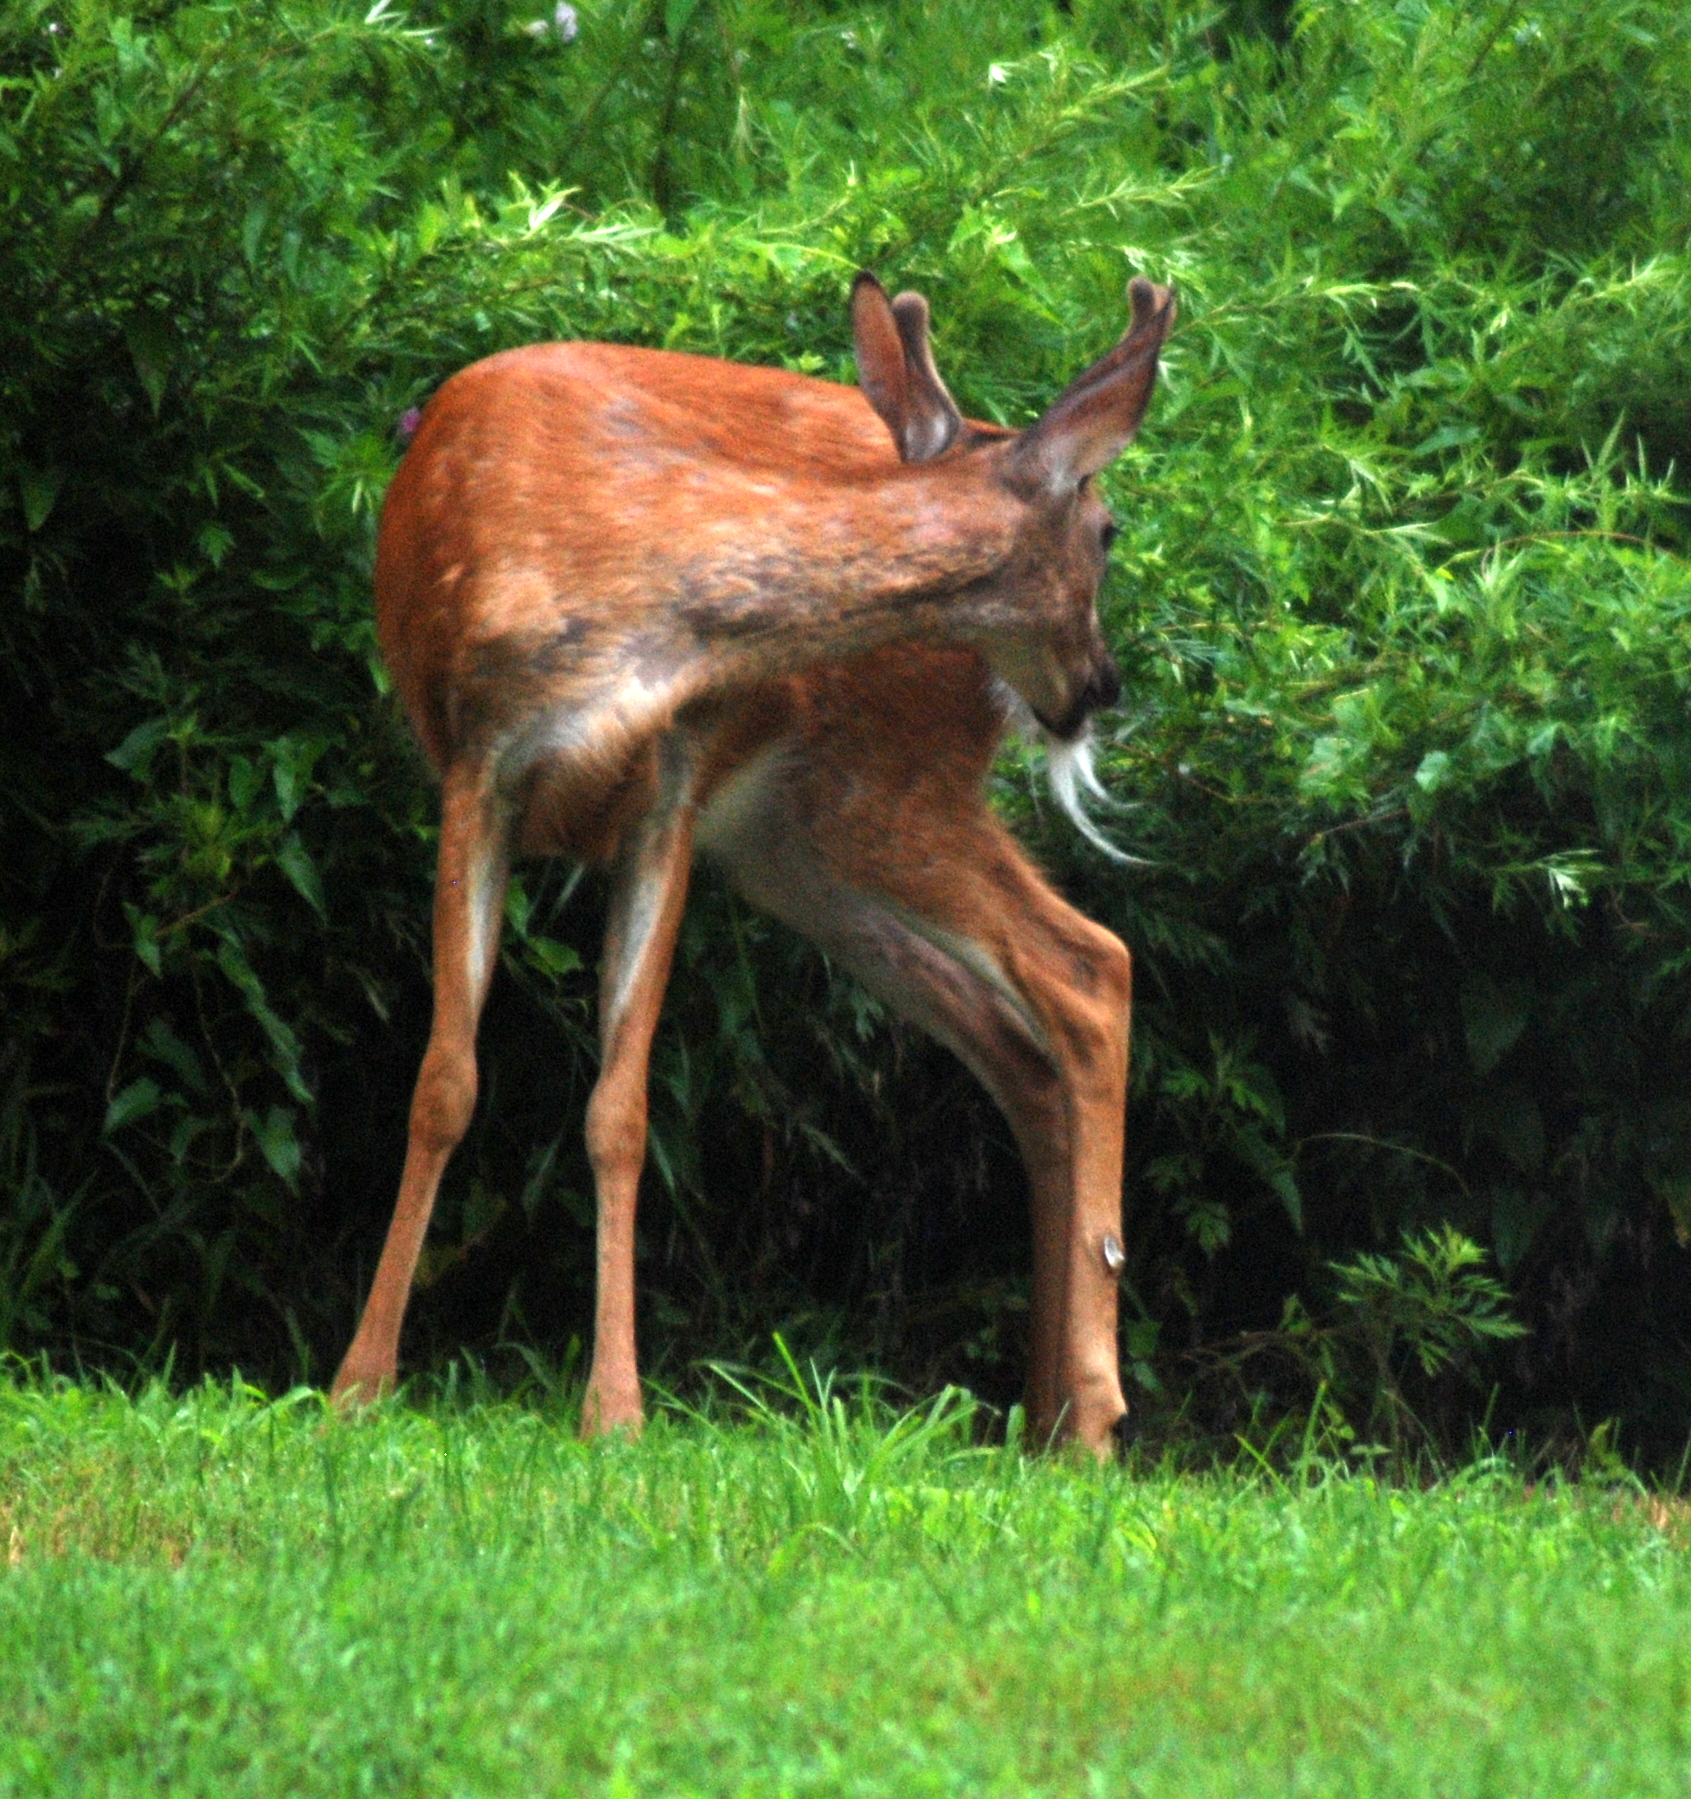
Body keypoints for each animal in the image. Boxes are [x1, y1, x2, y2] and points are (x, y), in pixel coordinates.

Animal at [331, 277, 1172, 1460]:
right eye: (1107, 528)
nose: (1101, 683)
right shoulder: (476, 763)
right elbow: (444, 1082)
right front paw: (358, 1382)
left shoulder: (673, 784)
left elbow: (620, 1109)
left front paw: (615, 1407)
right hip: (803, 845)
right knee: (1028, 1038)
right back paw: (1050, 1416)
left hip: (874, 795)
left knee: (1087, 969)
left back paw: (1088, 1417)